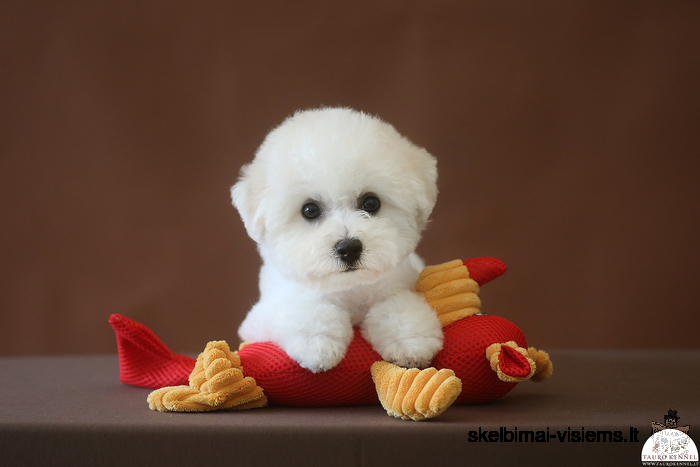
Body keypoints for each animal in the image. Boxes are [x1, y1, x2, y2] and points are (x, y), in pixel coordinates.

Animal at [231, 106, 442, 372]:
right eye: (309, 210)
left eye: (370, 203)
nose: (349, 248)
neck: (348, 287)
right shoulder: (262, 316)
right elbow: (300, 311)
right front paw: (318, 343)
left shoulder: (400, 283)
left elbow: (397, 307)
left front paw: (409, 341)